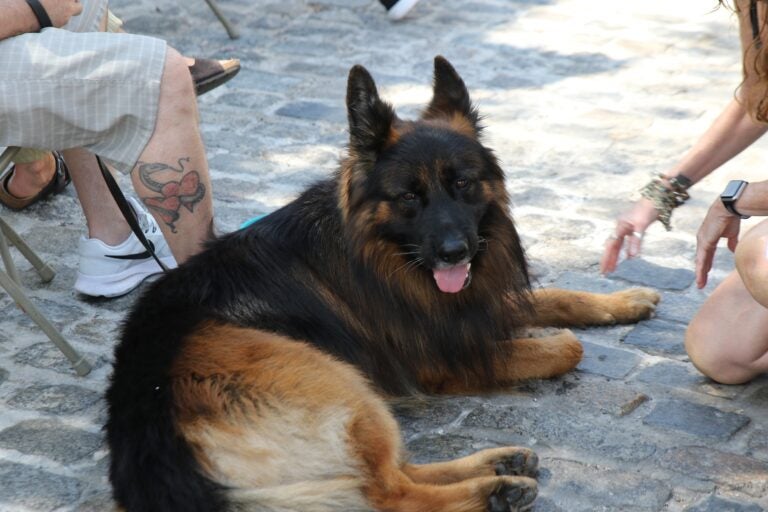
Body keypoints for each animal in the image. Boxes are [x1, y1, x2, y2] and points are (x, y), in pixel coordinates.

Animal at [106, 57, 660, 512]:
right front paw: (564, 338)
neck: (379, 249)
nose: (455, 253)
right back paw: (495, 491)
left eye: (463, 183)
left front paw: (625, 299)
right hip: (346, 388)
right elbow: (566, 348)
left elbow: (557, 297)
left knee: (391, 472)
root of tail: (157, 451)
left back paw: (498, 465)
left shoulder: (469, 304)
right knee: (388, 492)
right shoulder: (447, 352)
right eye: (408, 196)